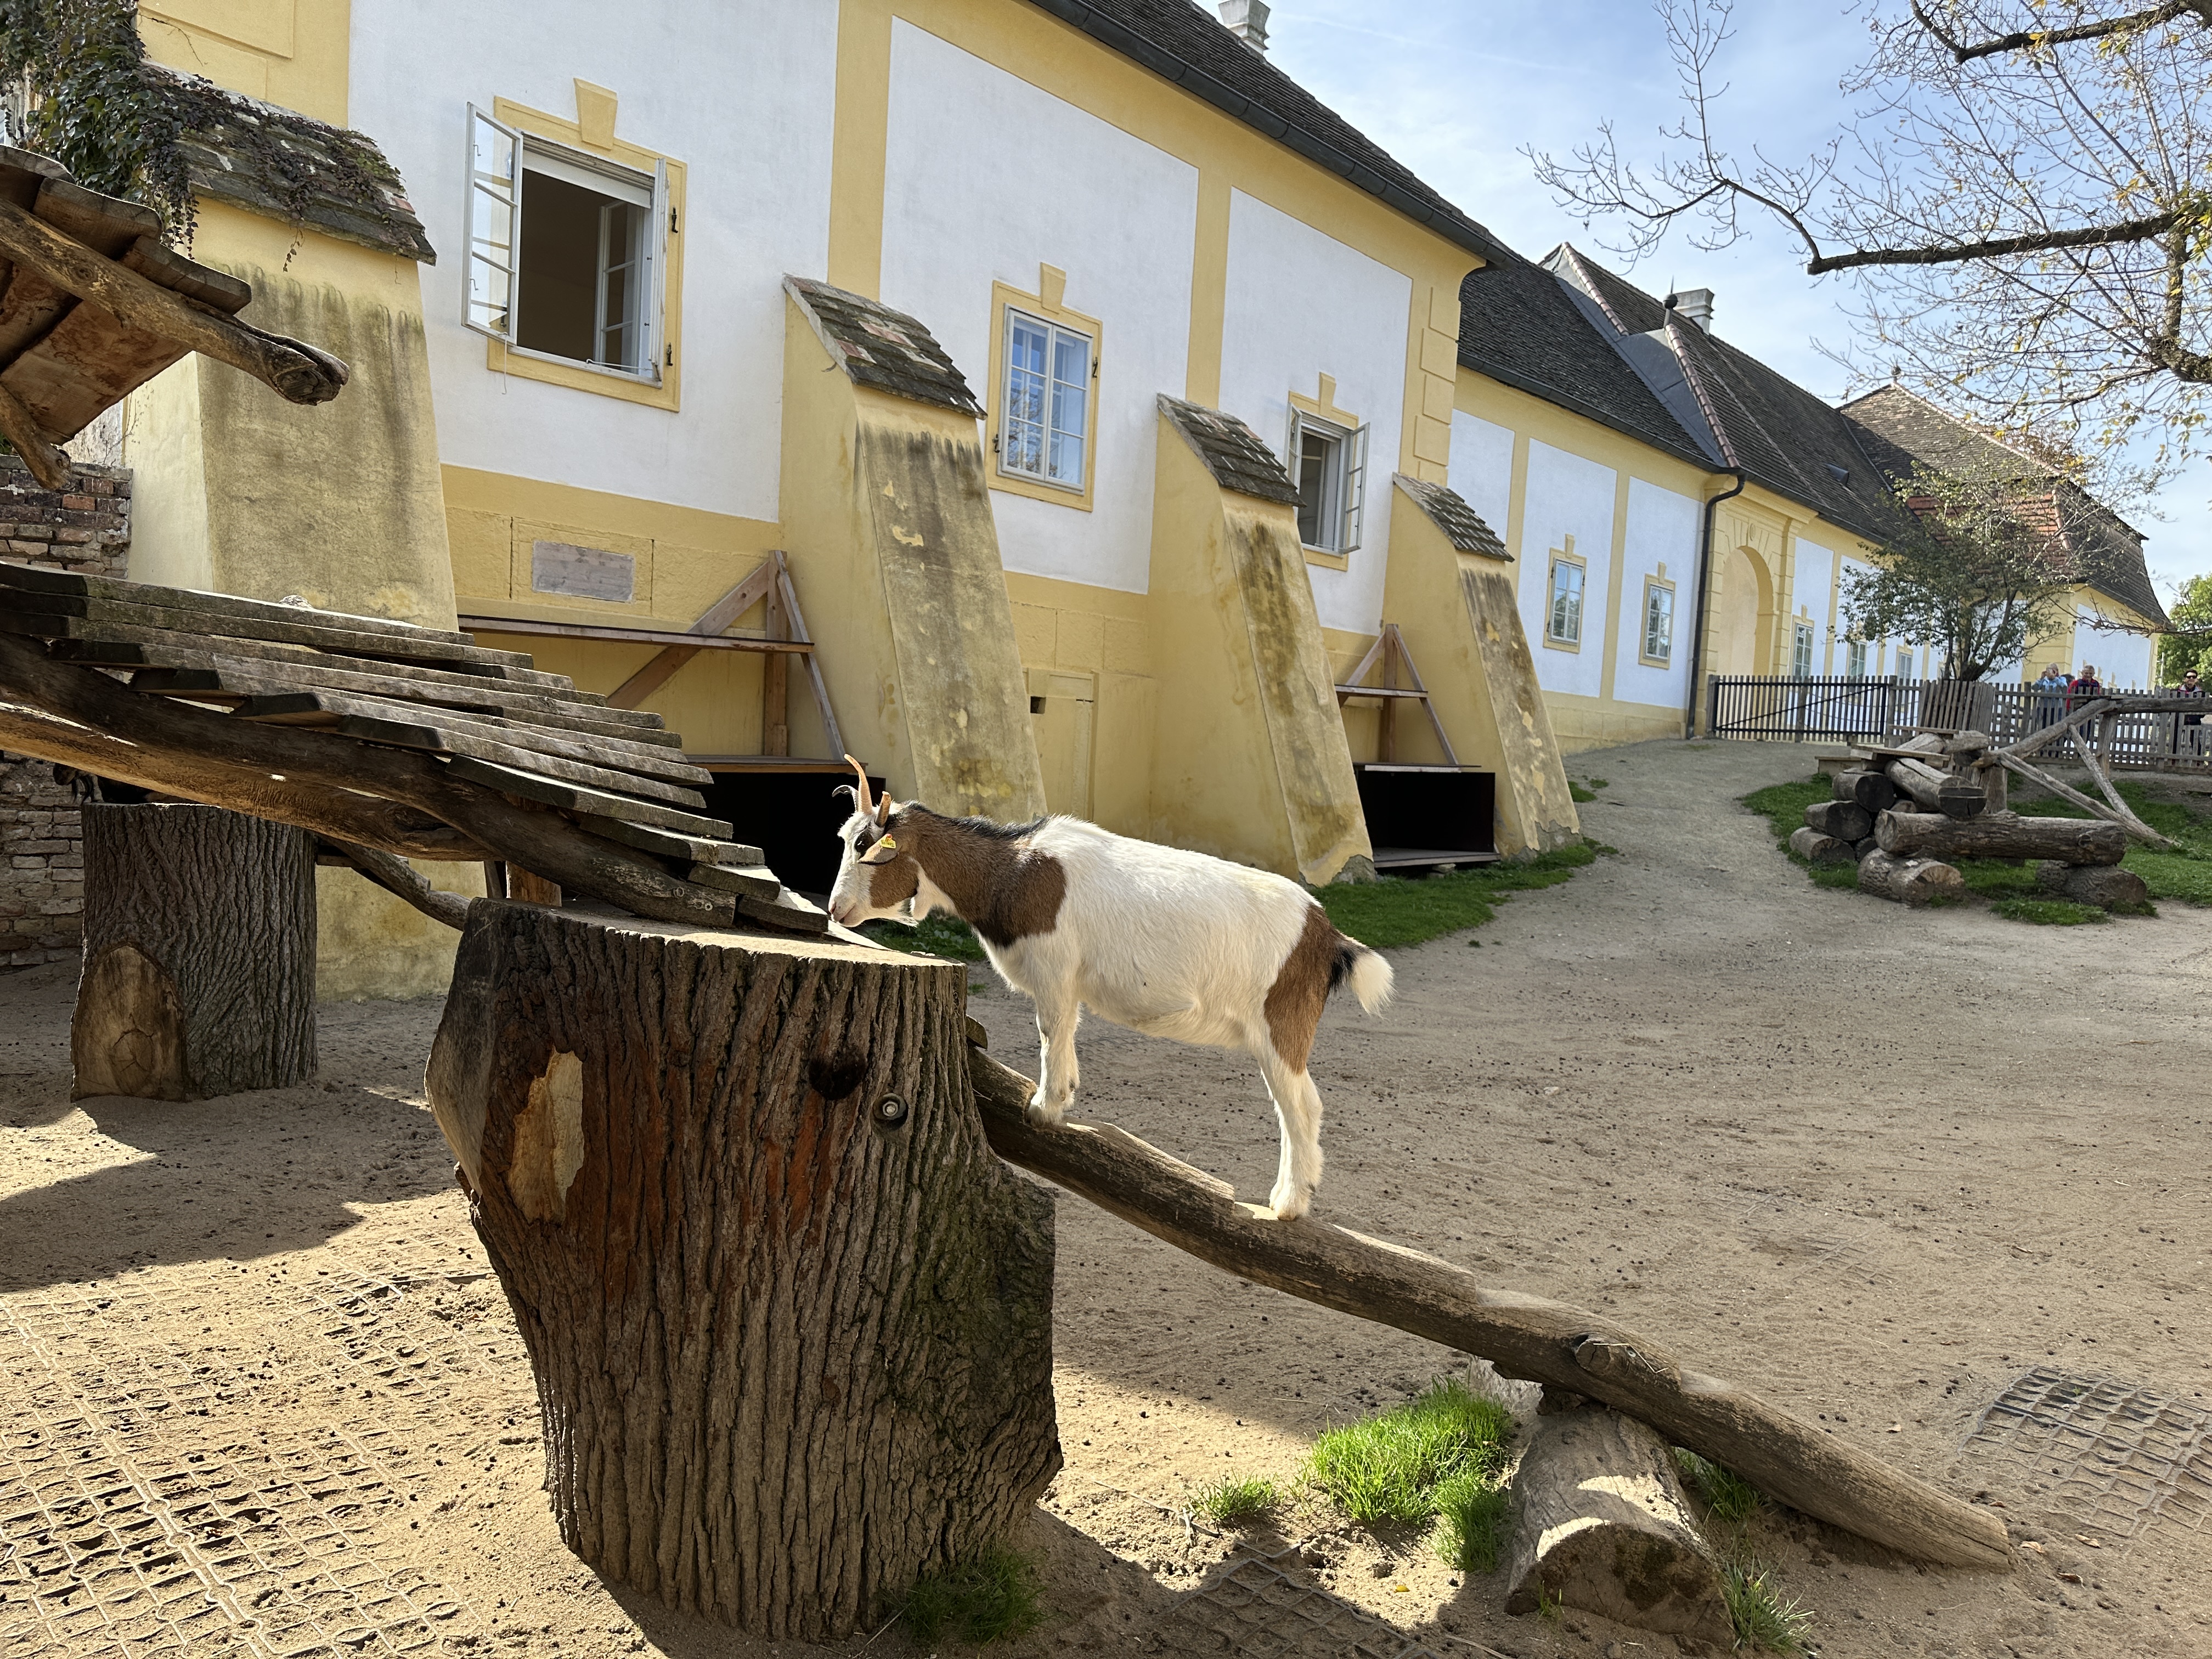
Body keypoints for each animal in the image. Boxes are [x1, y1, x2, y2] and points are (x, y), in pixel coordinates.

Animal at [826, 757, 1392, 1220]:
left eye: (867, 849)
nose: (835, 909)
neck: (1014, 871)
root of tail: (1326, 935)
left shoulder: (1053, 969)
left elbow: (1049, 1030)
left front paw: (1045, 1107)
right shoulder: (1067, 981)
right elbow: (1067, 1031)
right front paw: (1067, 1092)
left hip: (1280, 1027)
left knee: (1301, 1107)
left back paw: (1289, 1203)